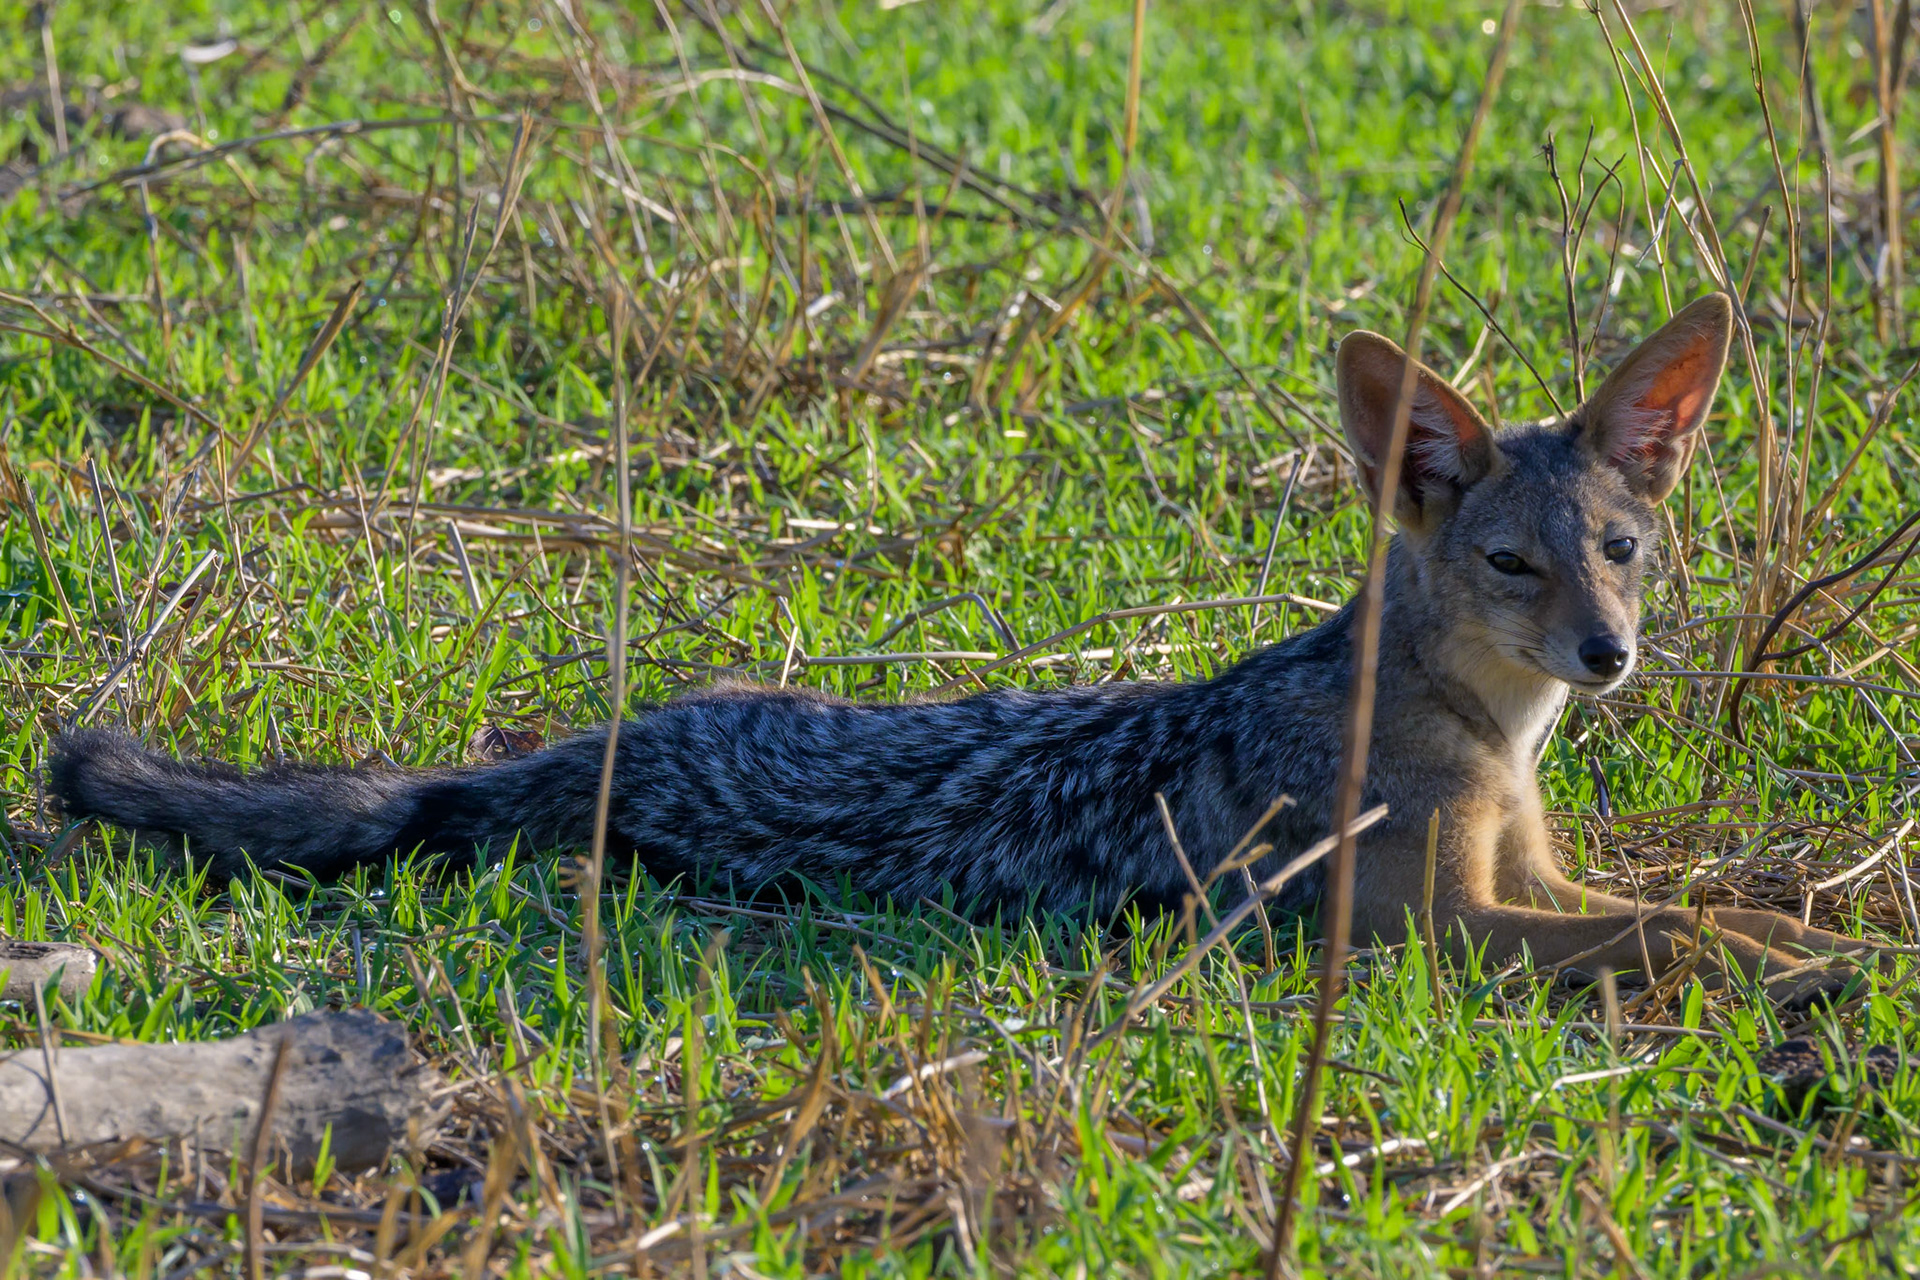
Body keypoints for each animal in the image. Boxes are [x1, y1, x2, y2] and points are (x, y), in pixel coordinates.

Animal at [48, 292, 1872, 998]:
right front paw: (1797, 964)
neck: (1490, 747)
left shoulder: (1534, 878)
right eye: (1510, 566)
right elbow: (1660, 935)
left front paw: (1809, 932)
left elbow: (1677, 906)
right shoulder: (1420, 934)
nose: (1607, 657)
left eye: (1619, 557)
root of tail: (624, 740)